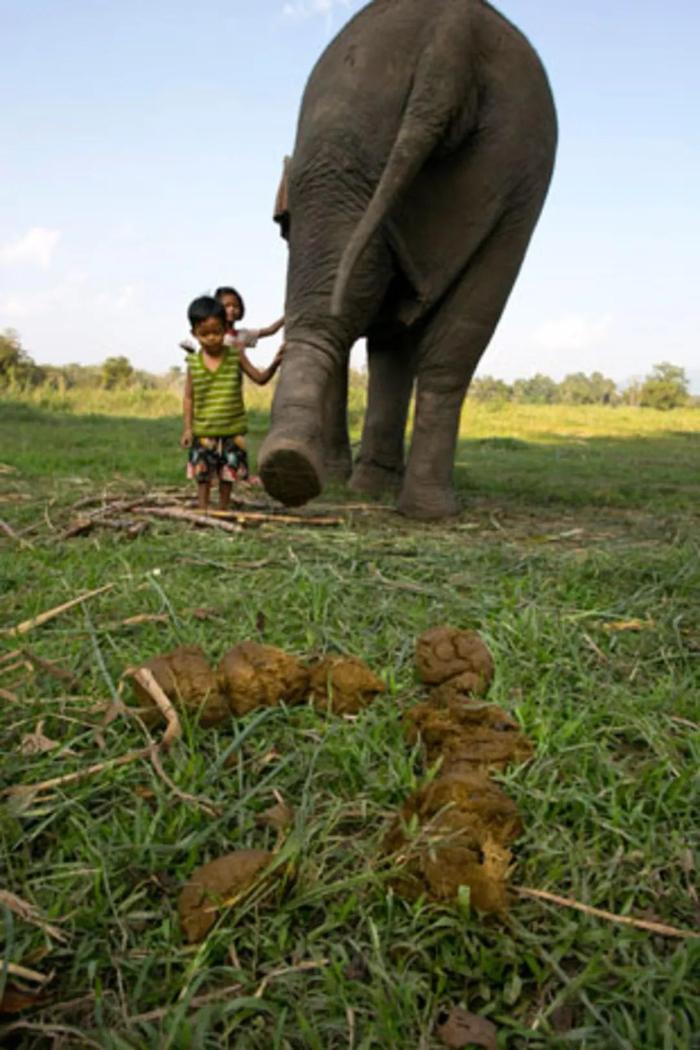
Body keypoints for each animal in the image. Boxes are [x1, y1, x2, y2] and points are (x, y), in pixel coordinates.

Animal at [259, 0, 558, 518]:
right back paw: (426, 507)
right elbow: (391, 337)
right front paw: (366, 486)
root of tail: (453, 35)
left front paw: (350, 482)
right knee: (461, 337)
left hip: (346, 146)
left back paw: (292, 468)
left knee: (329, 310)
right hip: (512, 170)